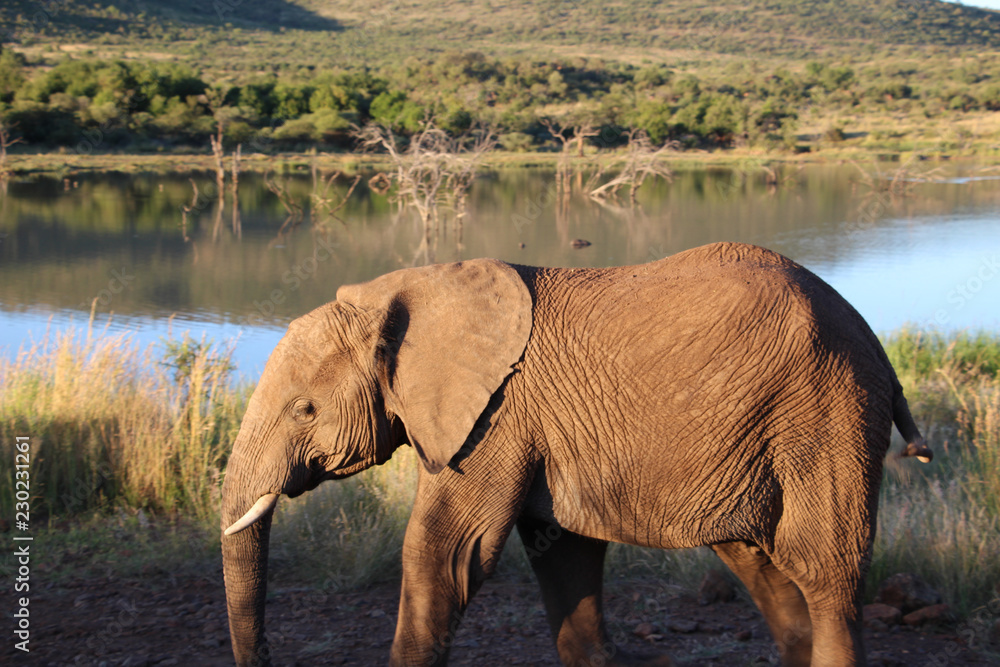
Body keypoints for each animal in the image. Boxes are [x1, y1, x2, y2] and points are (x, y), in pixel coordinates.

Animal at [221, 242, 933, 667]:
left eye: (304, 410)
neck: (402, 292)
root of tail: (871, 334)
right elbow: (561, 553)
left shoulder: (496, 416)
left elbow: (445, 552)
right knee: (762, 564)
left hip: (828, 412)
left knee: (825, 571)